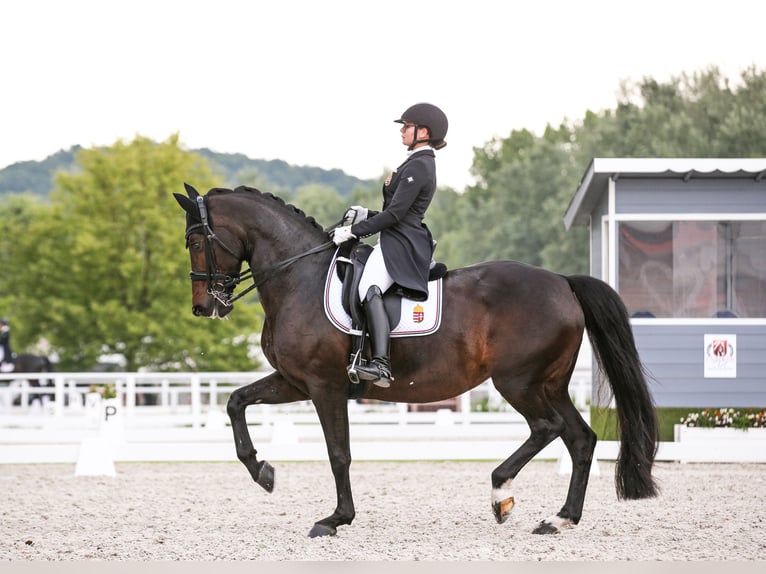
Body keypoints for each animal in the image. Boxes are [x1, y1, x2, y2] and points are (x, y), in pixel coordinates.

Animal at [174, 183, 660, 540]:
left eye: (196, 241)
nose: (203, 307)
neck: (299, 279)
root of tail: (562, 281)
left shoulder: (324, 386)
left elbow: (338, 453)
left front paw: (335, 519)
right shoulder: (294, 382)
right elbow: (236, 401)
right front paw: (263, 472)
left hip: (518, 382)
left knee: (548, 428)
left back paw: (501, 492)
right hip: (550, 383)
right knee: (580, 438)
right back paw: (560, 519)